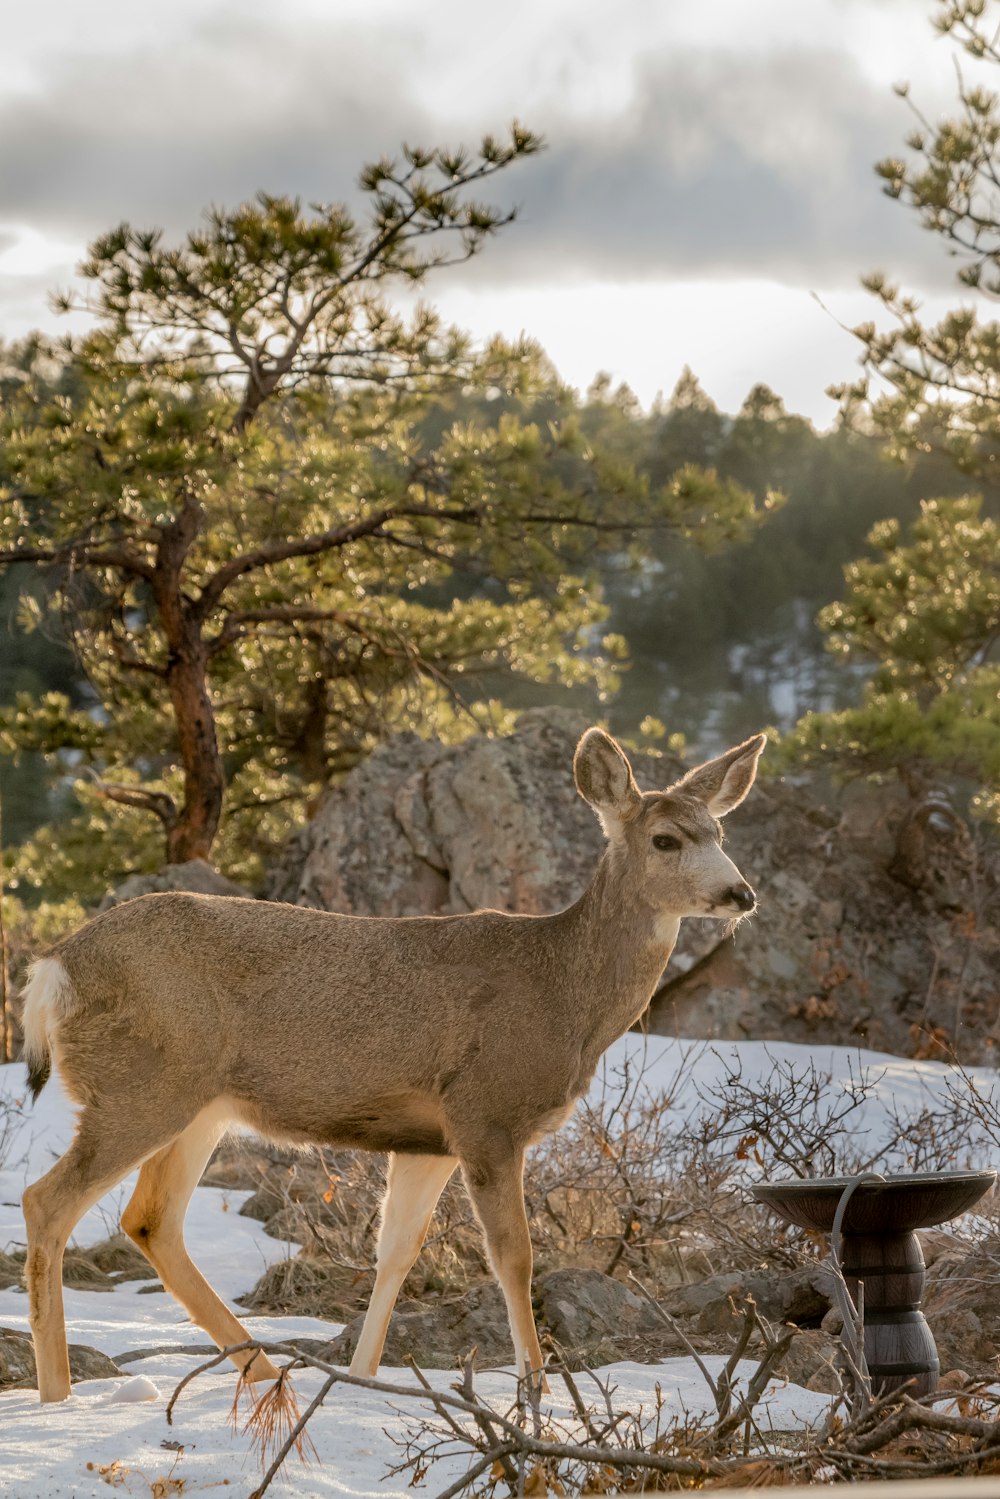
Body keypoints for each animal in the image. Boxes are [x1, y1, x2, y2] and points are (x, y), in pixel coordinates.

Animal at [19, 728, 761, 1403]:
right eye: (666, 840)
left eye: (720, 830)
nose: (742, 893)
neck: (563, 994)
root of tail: (53, 969)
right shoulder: (487, 1111)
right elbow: (513, 1256)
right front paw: (537, 1392)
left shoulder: (428, 1137)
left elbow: (397, 1250)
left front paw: (364, 1378)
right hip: (143, 1085)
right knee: (47, 1202)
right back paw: (59, 1395)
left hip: (197, 1105)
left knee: (151, 1220)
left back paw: (265, 1376)